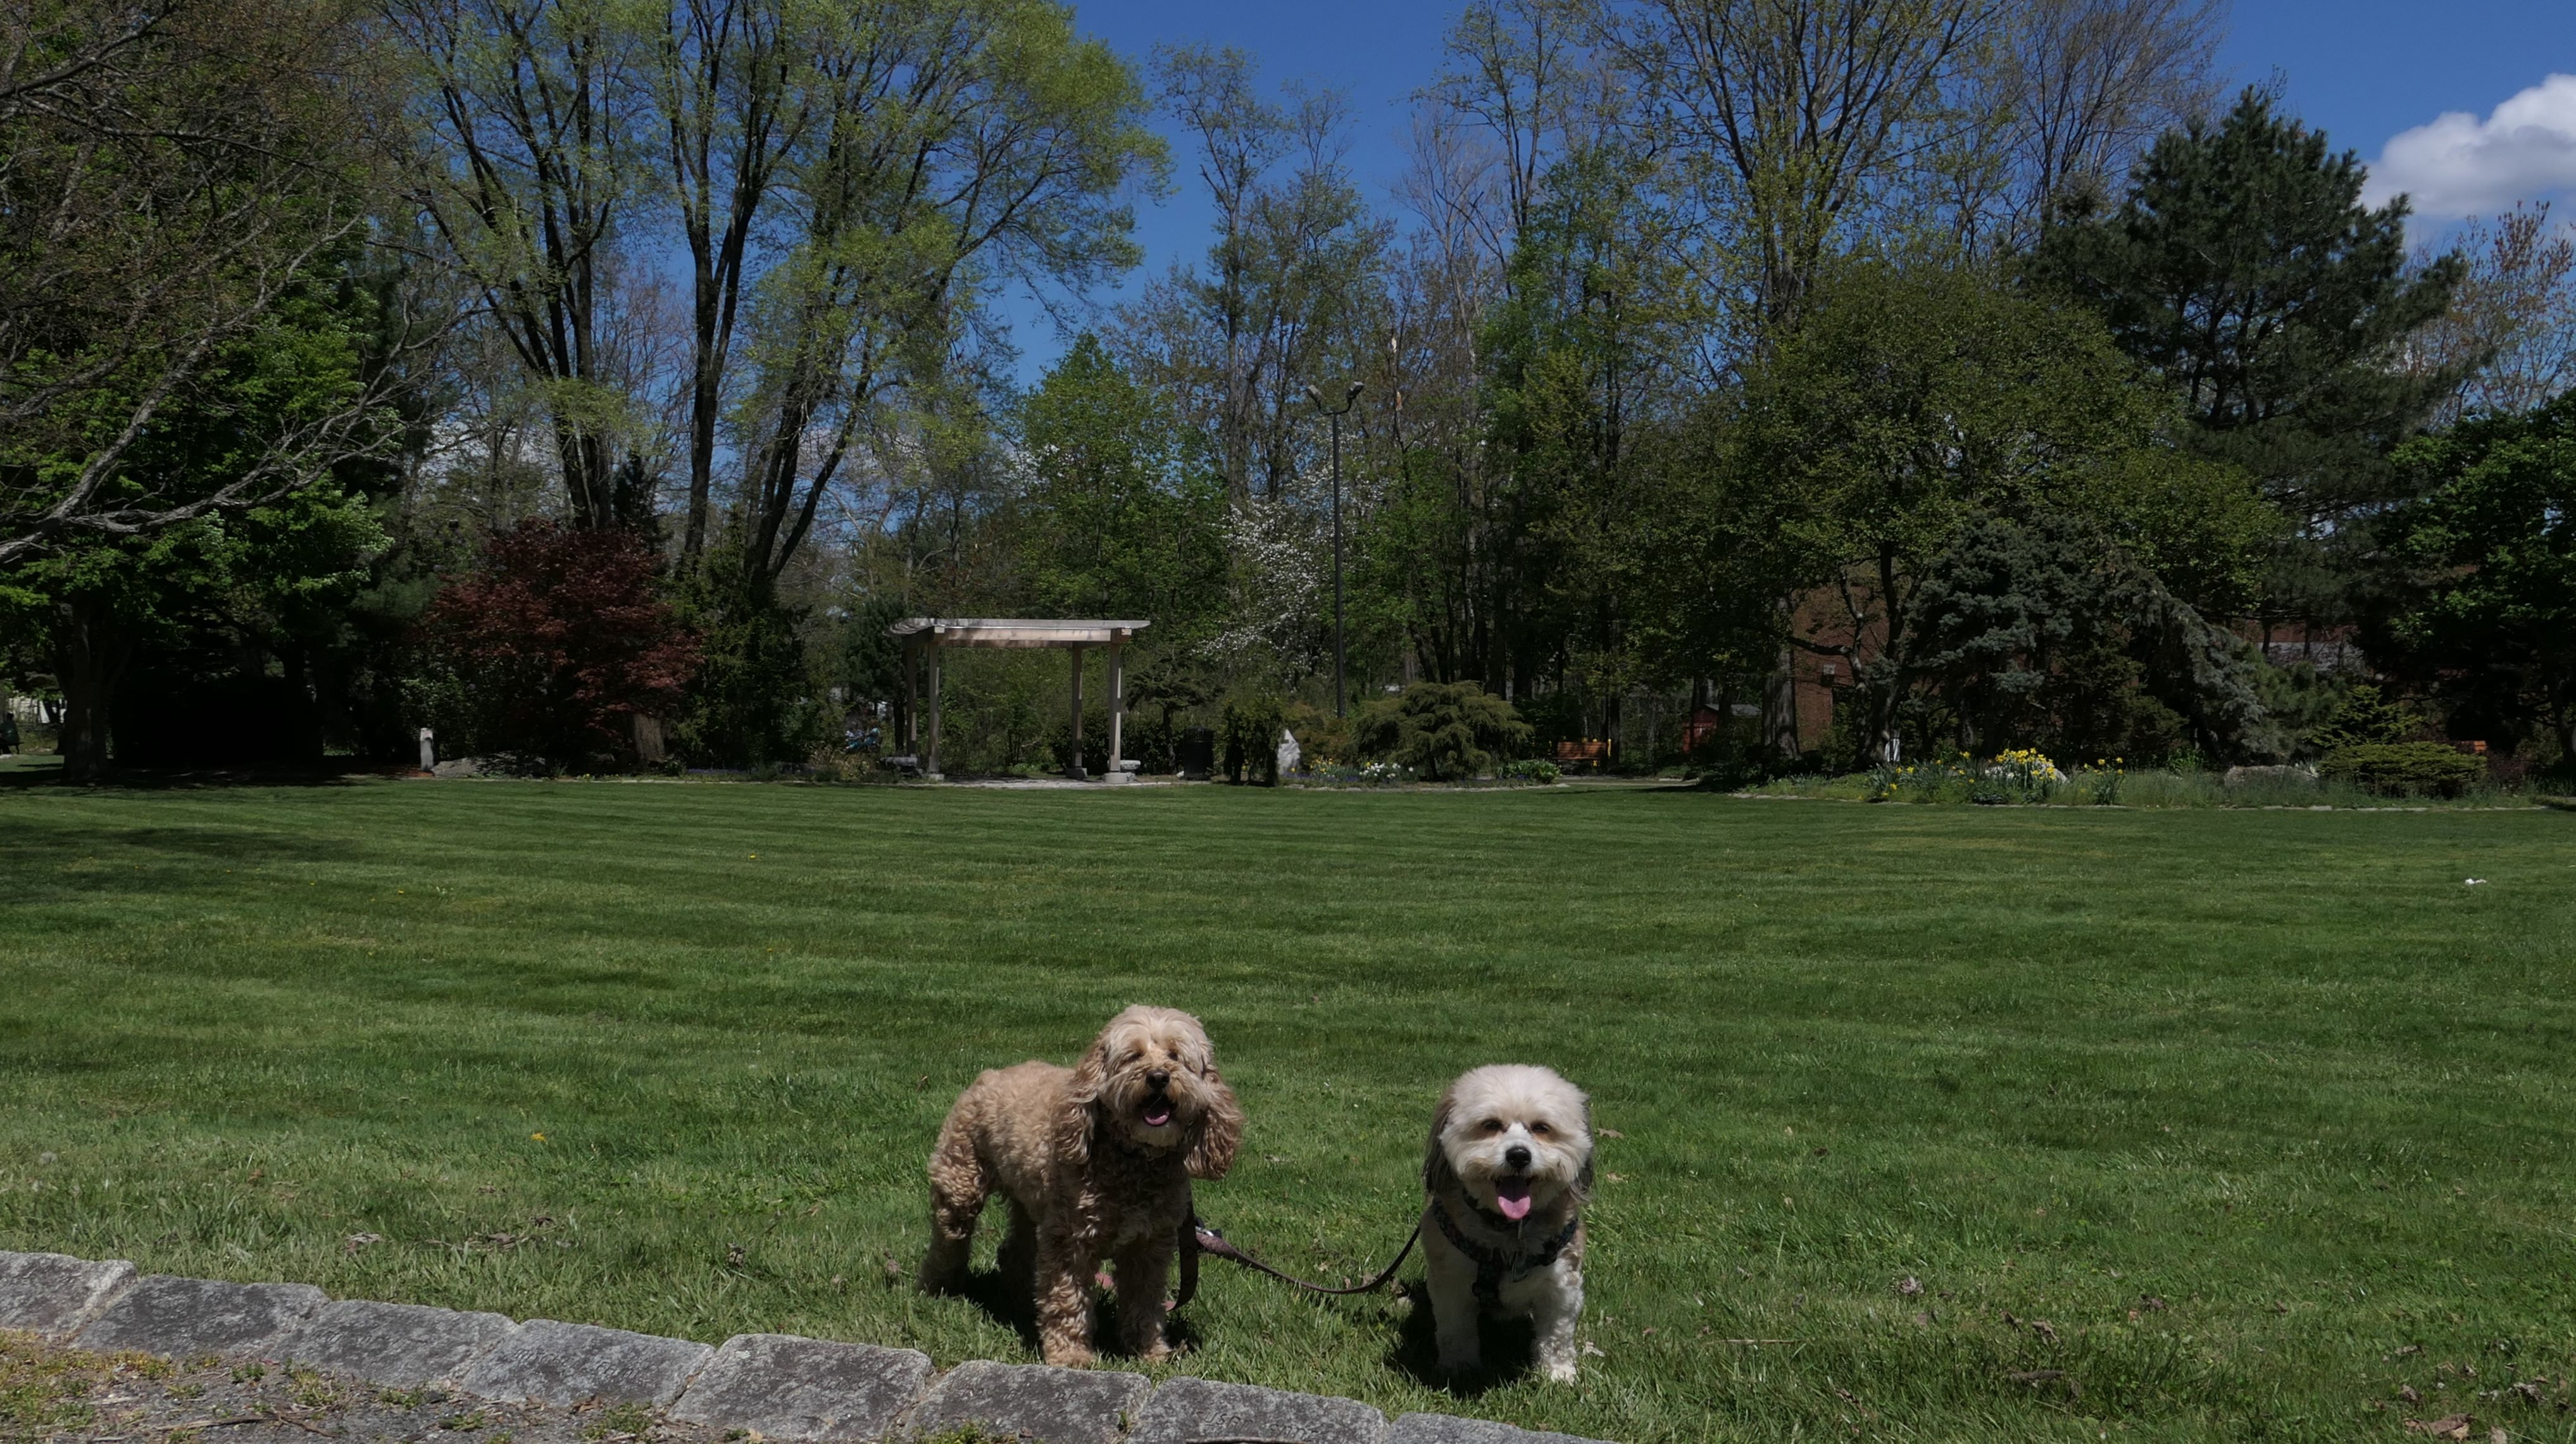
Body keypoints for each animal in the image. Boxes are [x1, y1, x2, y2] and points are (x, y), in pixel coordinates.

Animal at [919, 1006, 1244, 1366]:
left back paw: (1019, 1298)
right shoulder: (1070, 1242)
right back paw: (937, 1287)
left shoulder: (1149, 1244)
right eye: (1133, 1056)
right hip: (961, 1184)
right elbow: (1067, 1299)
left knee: (1014, 1250)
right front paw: (1071, 1354)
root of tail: (988, 1076)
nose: (1158, 1077)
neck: (1132, 1158)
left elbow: (1144, 1300)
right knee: (949, 1241)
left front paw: (1149, 1350)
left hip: (1030, 1204)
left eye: (1176, 1056)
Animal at [1419, 1064, 1593, 1383]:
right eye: (1491, 1125)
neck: (1509, 1231)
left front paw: (1557, 1373)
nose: (1519, 1155)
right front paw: (1459, 1368)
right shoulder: (1450, 1281)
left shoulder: (1562, 1285)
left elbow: (1557, 1335)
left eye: (1541, 1128)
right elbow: (1455, 1330)